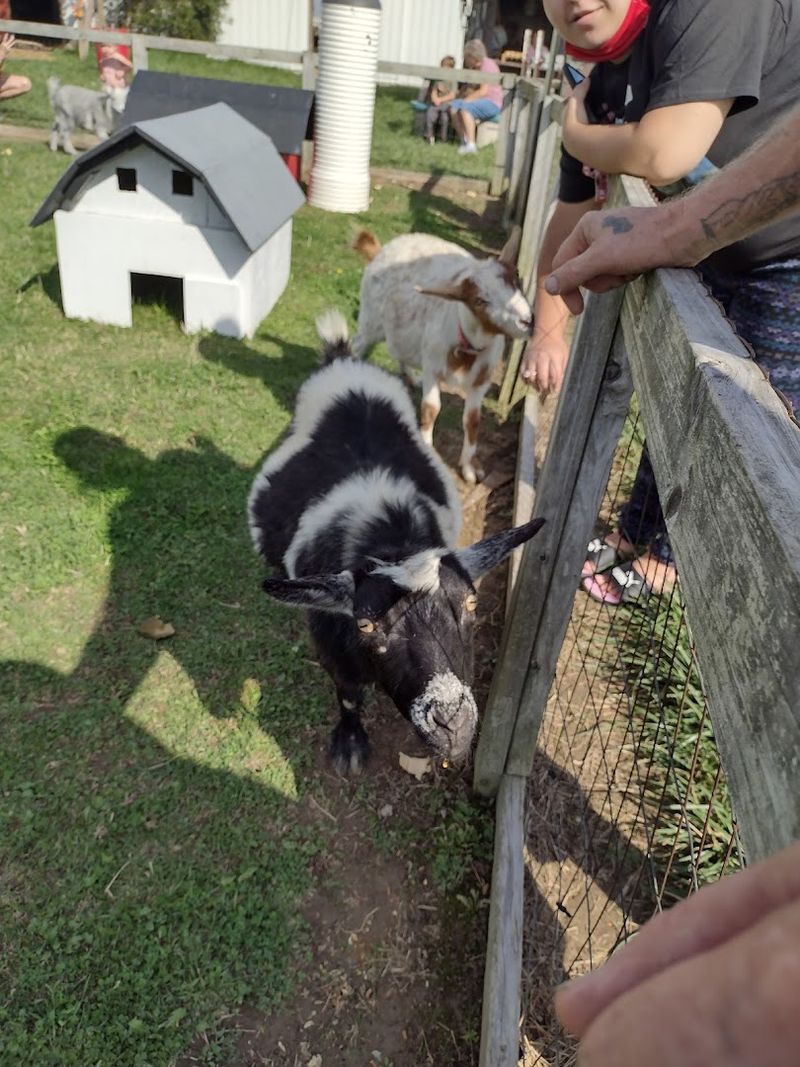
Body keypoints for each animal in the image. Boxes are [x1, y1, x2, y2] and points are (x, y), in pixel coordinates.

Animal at [248, 309, 544, 775]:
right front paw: (350, 745)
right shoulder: (333, 647)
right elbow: (348, 693)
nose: (452, 722)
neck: (390, 541)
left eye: (472, 603)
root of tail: (345, 361)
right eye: (365, 624)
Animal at [351, 228, 533, 484]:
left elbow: (472, 420)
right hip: (371, 321)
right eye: (479, 300)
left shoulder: (481, 381)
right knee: (358, 344)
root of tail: (381, 250)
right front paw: (428, 449)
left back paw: (410, 377)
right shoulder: (432, 368)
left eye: (516, 281)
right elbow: (431, 409)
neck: (467, 347)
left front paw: (468, 468)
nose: (527, 321)